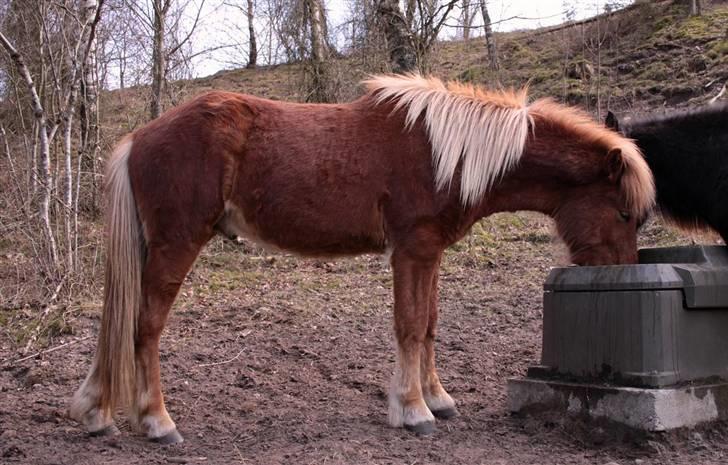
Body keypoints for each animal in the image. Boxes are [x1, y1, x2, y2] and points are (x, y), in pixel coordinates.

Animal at [71, 74, 656, 440]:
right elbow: (410, 326)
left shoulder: (430, 253)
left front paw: (437, 399)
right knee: (145, 327)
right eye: (625, 212)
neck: (446, 153)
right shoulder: (412, 251)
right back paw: (157, 422)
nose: (622, 273)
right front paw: (413, 410)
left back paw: (98, 412)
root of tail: (140, 137)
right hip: (177, 244)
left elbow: (430, 326)